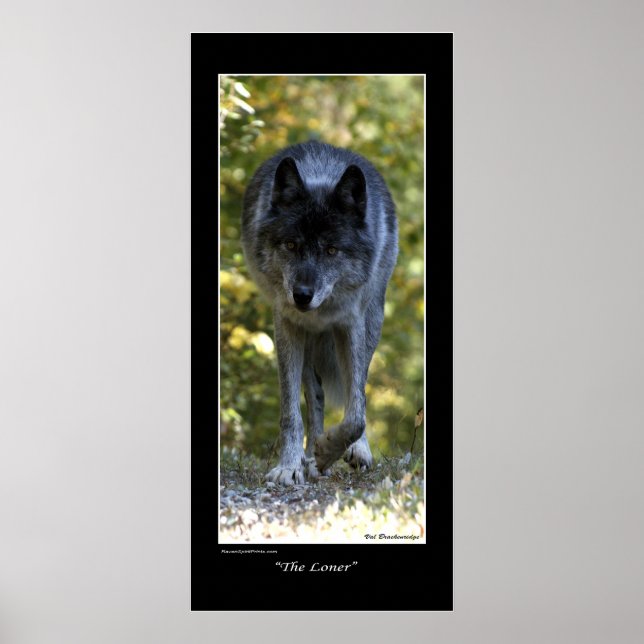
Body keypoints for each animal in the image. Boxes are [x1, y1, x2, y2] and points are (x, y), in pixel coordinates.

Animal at [241, 141, 398, 485]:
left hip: (373, 323)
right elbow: (291, 412)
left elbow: (356, 412)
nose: (301, 296)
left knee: (357, 392)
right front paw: (290, 465)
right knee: (314, 399)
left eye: (331, 250)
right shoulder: (286, 325)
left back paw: (347, 452)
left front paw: (330, 452)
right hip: (306, 344)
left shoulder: (351, 322)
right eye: (290, 245)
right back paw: (310, 455)